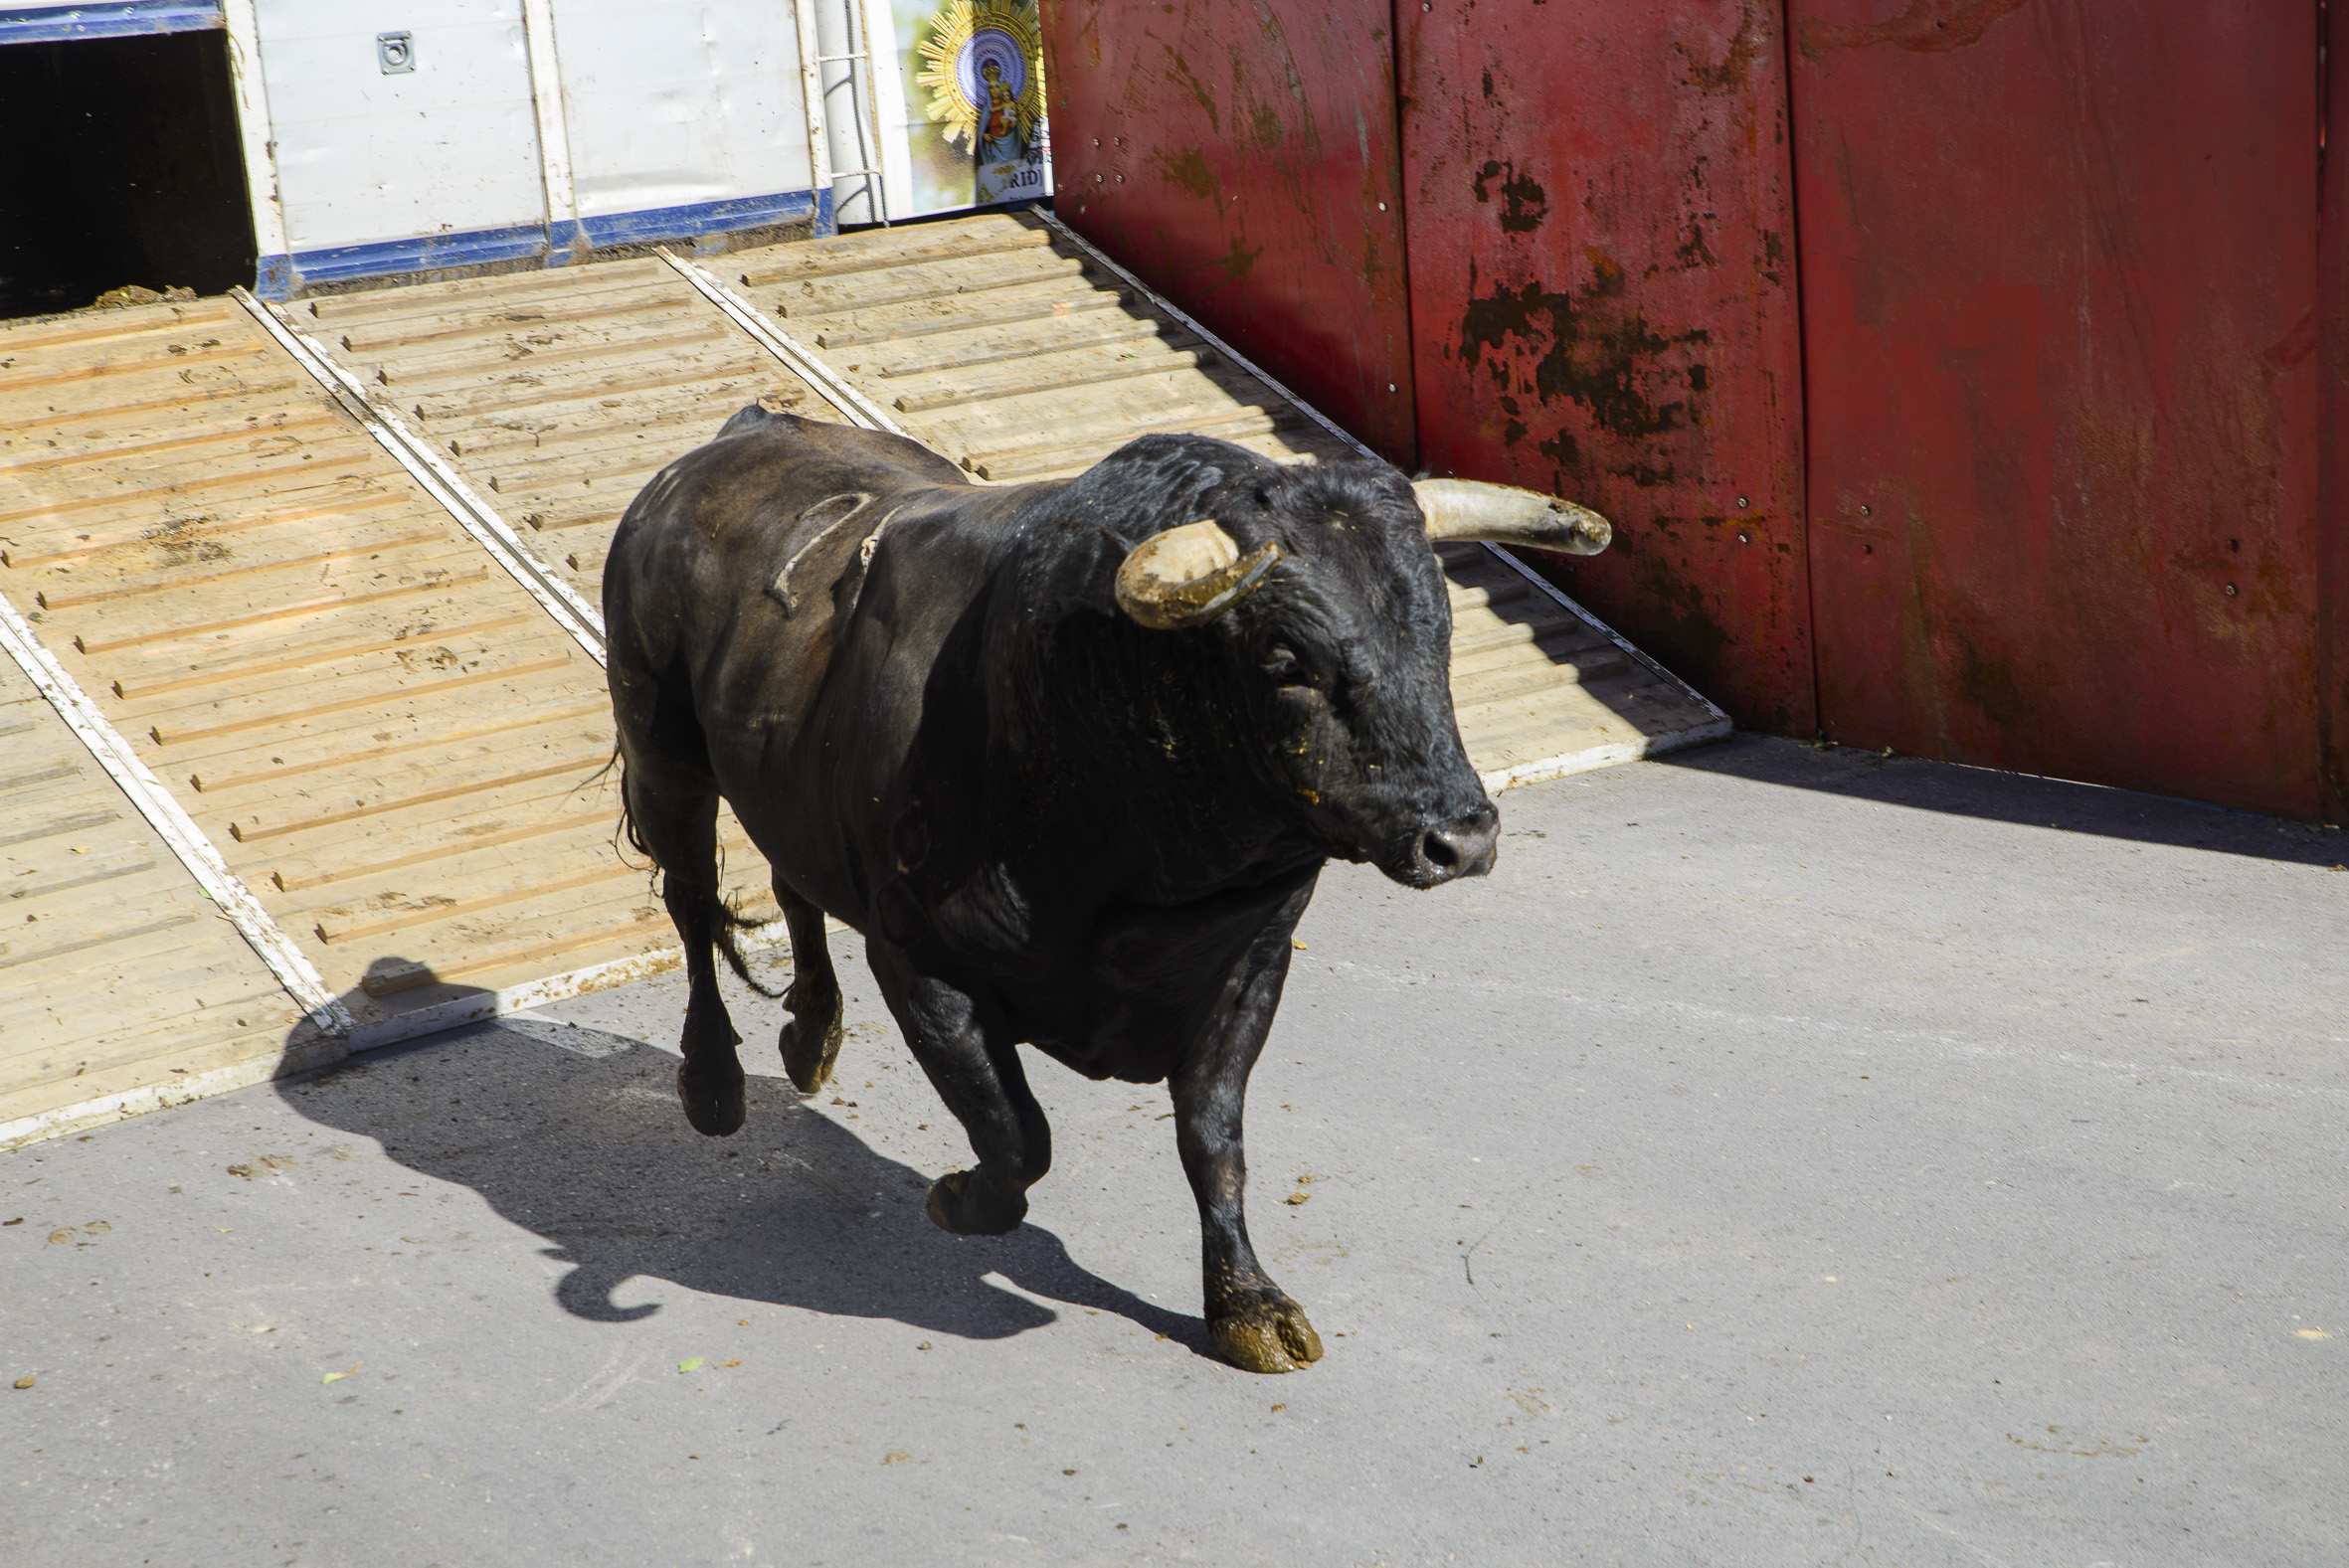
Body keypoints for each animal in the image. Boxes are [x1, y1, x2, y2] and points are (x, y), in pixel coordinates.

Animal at [596, 408, 1606, 1370]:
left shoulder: (1250, 968)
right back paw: (713, 1083)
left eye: (1440, 633)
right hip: (663, 754)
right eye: (1288, 660)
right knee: (692, 901)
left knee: (789, 877)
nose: (1462, 836)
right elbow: (1017, 1132)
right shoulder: (921, 961)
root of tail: (743, 434)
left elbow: (1214, 1141)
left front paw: (1247, 1305)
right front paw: (959, 1200)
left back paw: (810, 1036)